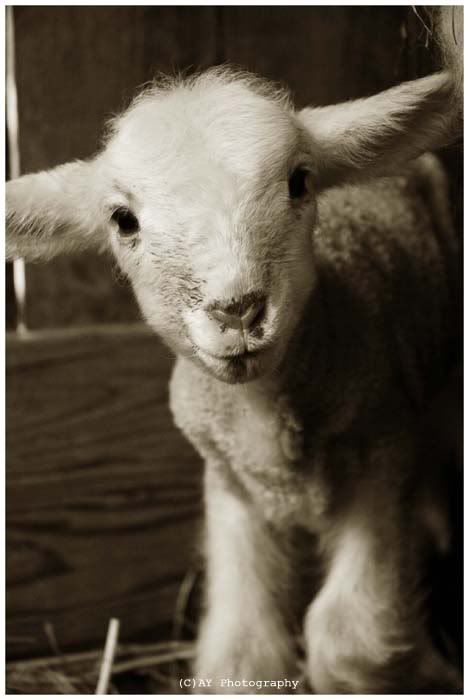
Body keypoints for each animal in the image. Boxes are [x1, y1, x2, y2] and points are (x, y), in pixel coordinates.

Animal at [6, 66, 462, 693]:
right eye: (123, 220)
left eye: (299, 181)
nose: (238, 310)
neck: (264, 418)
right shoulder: (229, 482)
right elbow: (243, 655)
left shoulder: (385, 454)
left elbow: (350, 641)